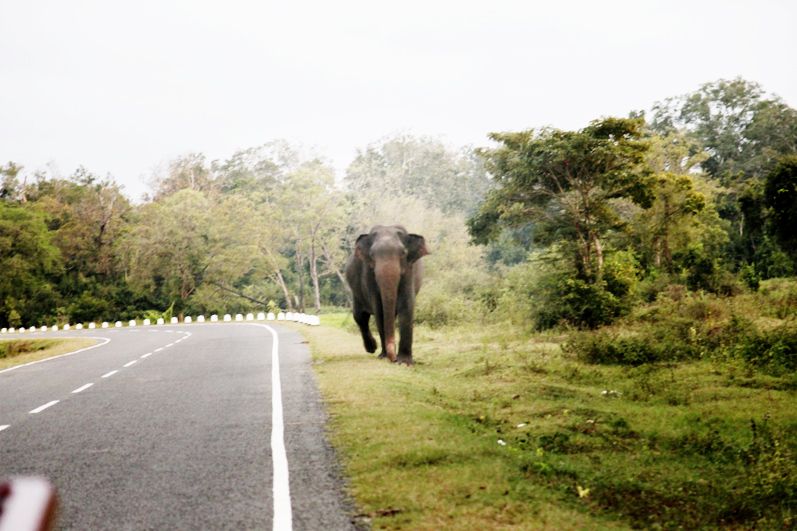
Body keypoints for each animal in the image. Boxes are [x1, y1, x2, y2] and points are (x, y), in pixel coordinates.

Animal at [345, 224, 430, 365]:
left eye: (403, 253)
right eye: (371, 254)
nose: (393, 359)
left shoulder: (409, 270)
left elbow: (406, 305)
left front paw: (405, 363)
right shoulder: (368, 273)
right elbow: (379, 309)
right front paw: (383, 357)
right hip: (356, 293)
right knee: (360, 316)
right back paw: (372, 348)